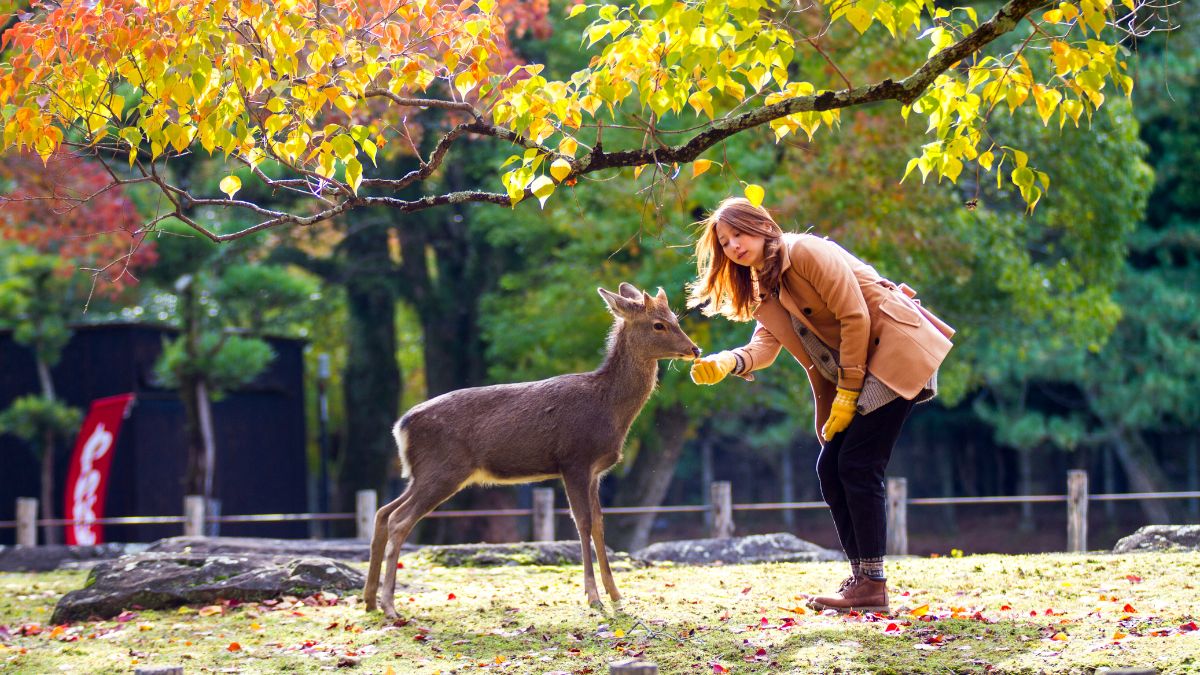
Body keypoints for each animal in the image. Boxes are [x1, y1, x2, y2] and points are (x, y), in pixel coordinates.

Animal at [364, 281, 700, 619]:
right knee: (399, 520)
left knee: (382, 512)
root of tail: (401, 426)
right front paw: (593, 598)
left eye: (676, 318)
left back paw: (370, 601)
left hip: (422, 473)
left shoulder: (595, 471)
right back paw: (390, 606)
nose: (694, 349)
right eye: (658, 324)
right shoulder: (574, 459)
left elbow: (600, 524)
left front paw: (617, 597)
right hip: (443, 469)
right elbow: (583, 523)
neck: (609, 408)